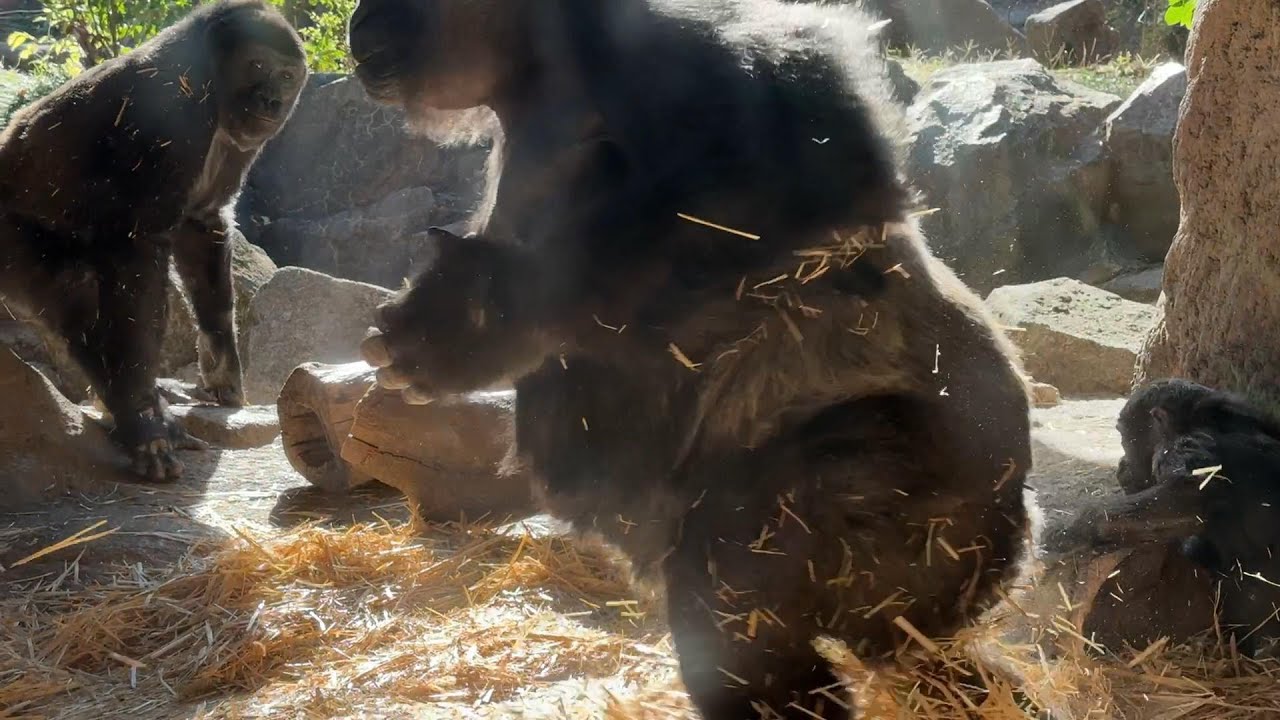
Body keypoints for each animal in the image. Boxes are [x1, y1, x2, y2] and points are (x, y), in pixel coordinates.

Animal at [0, 0, 308, 481]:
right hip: (9, 241)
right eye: (257, 65)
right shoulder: (172, 106)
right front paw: (142, 413)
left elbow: (202, 229)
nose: (273, 101)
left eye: (288, 76)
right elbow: (137, 261)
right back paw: (133, 413)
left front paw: (221, 362)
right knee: (77, 291)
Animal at [349, 1, 1032, 717]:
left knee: (738, 583)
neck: (538, 57)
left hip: (932, 504)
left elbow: (744, 209)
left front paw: (471, 318)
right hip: (929, 585)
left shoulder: (698, 65)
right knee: (916, 651)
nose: (358, 26)